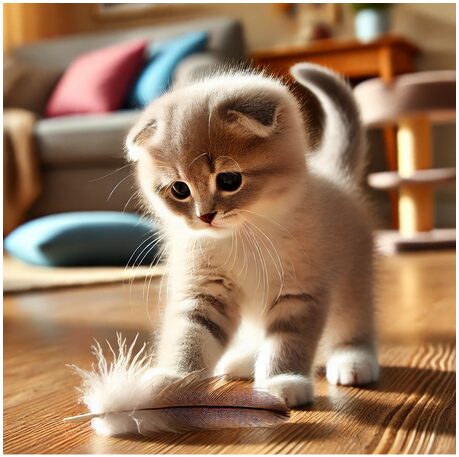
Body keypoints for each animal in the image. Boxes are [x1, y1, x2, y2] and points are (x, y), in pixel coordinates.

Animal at [125, 62, 378, 408]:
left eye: (229, 180)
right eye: (179, 189)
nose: (205, 216)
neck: (243, 235)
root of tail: (335, 174)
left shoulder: (300, 290)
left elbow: (287, 340)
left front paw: (282, 380)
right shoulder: (205, 288)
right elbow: (191, 332)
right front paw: (175, 377)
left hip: (353, 279)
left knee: (352, 320)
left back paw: (354, 359)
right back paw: (245, 359)